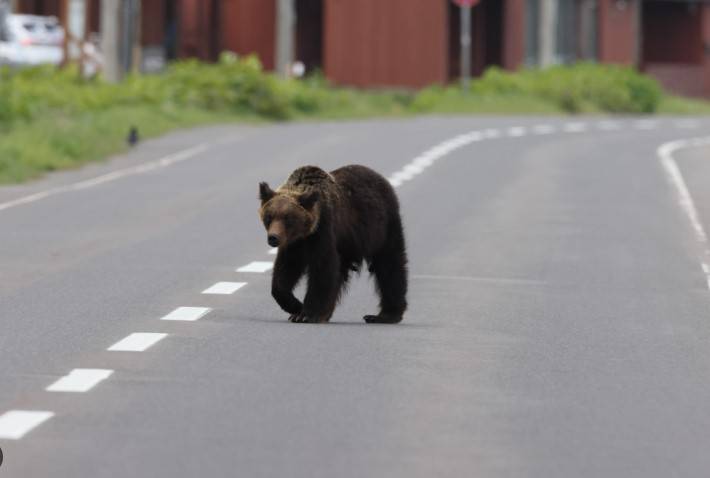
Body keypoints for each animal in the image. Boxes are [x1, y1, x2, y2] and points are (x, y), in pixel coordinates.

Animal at [258, 165, 408, 324]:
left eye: (288, 218)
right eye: (269, 216)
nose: (273, 238)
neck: (306, 233)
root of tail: (381, 178)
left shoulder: (324, 230)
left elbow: (323, 268)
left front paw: (306, 314)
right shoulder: (294, 243)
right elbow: (285, 270)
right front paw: (295, 307)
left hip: (382, 227)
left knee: (390, 265)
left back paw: (385, 315)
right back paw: (327, 313)